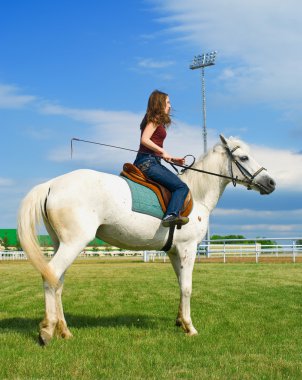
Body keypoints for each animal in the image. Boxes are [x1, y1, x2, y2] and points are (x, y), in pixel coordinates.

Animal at [16, 136, 276, 344]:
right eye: (244, 157)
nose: (271, 183)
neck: (196, 194)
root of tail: (51, 184)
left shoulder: (174, 252)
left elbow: (180, 284)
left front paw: (180, 321)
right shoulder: (188, 248)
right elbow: (188, 287)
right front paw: (190, 327)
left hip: (61, 243)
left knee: (57, 282)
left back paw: (64, 331)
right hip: (73, 243)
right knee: (50, 276)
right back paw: (47, 330)